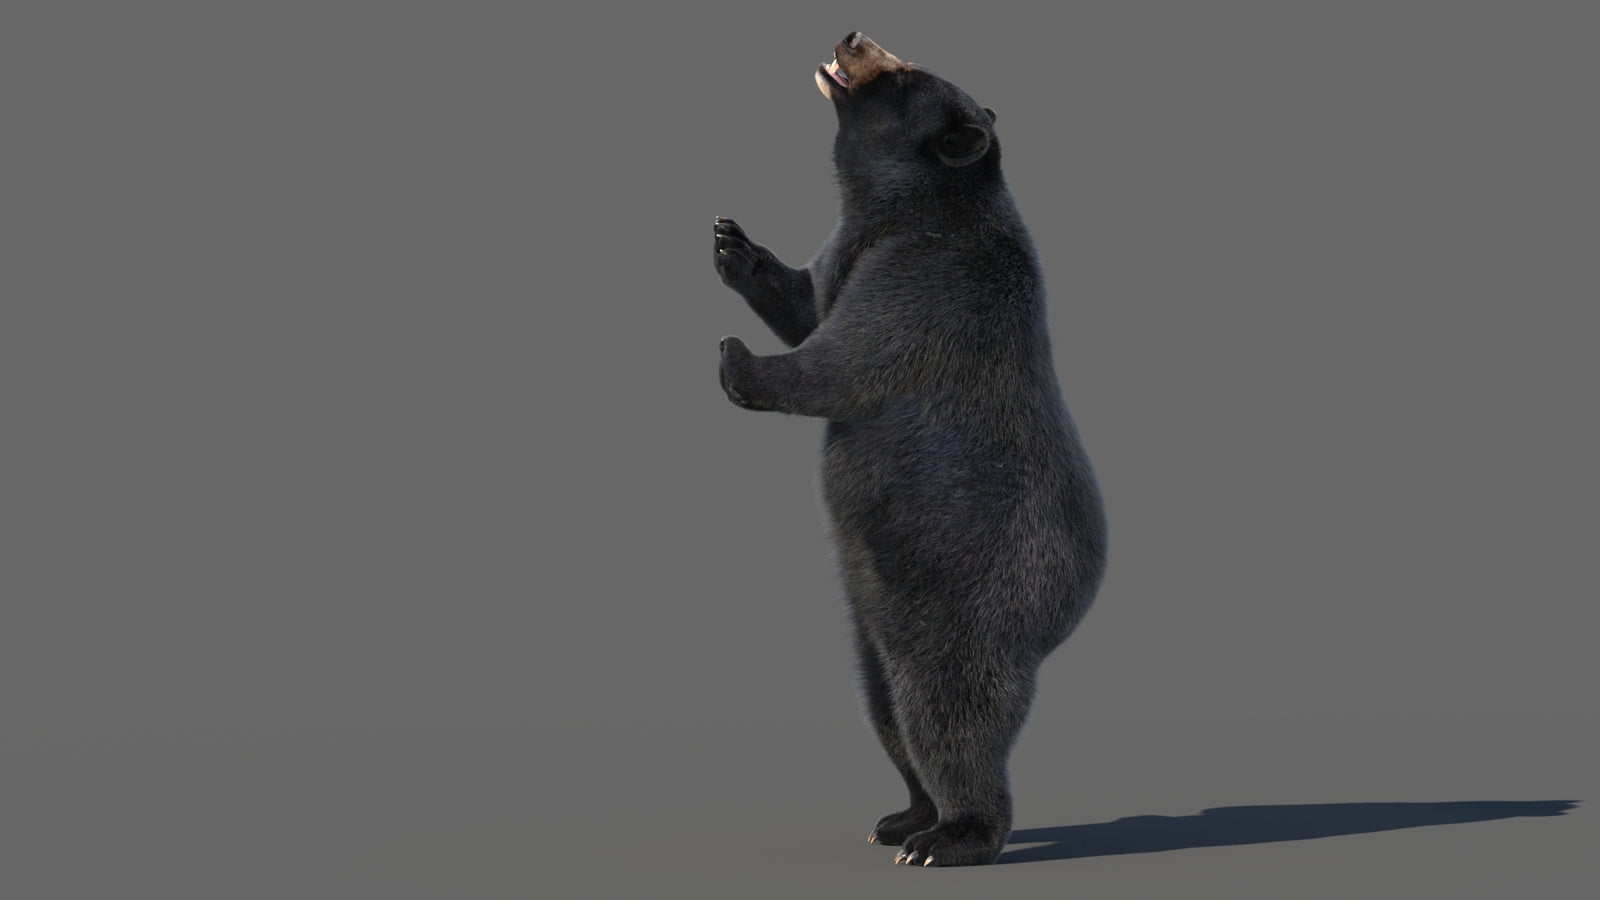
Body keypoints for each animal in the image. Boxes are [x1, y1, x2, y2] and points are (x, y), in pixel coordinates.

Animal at [714, 32, 1108, 867]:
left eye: (904, 75)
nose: (852, 36)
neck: (902, 205)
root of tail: (1065, 617)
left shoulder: (930, 274)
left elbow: (851, 355)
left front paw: (737, 360)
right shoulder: (850, 249)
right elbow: (809, 301)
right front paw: (734, 245)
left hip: (971, 602)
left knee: (946, 712)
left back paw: (952, 836)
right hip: (871, 622)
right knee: (884, 706)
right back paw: (902, 816)